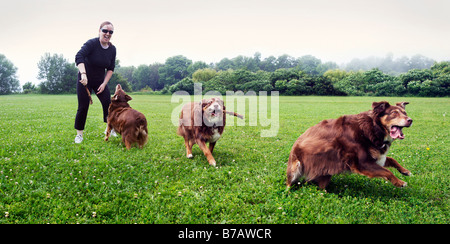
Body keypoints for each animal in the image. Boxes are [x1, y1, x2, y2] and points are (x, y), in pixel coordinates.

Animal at [286, 101, 414, 189]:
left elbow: (392, 160)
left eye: (405, 113)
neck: (373, 128)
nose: (410, 120)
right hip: (296, 166)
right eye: (394, 113)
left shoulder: (376, 157)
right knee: (291, 183)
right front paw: (399, 182)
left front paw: (405, 171)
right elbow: (387, 171)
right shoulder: (362, 163)